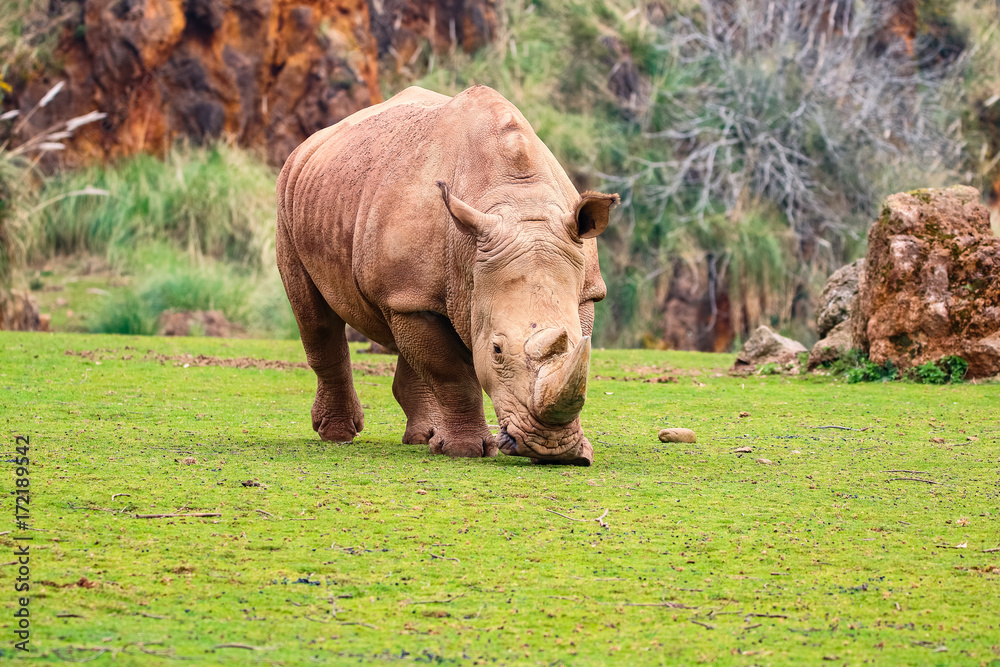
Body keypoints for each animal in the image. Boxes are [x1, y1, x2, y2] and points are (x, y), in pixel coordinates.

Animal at [276, 85, 618, 466]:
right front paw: (466, 451)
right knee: (315, 316)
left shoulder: (586, 290)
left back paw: (423, 438)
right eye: (496, 350)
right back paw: (338, 435)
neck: (517, 200)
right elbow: (452, 373)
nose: (552, 449)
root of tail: (310, 144)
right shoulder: (412, 296)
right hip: (290, 195)